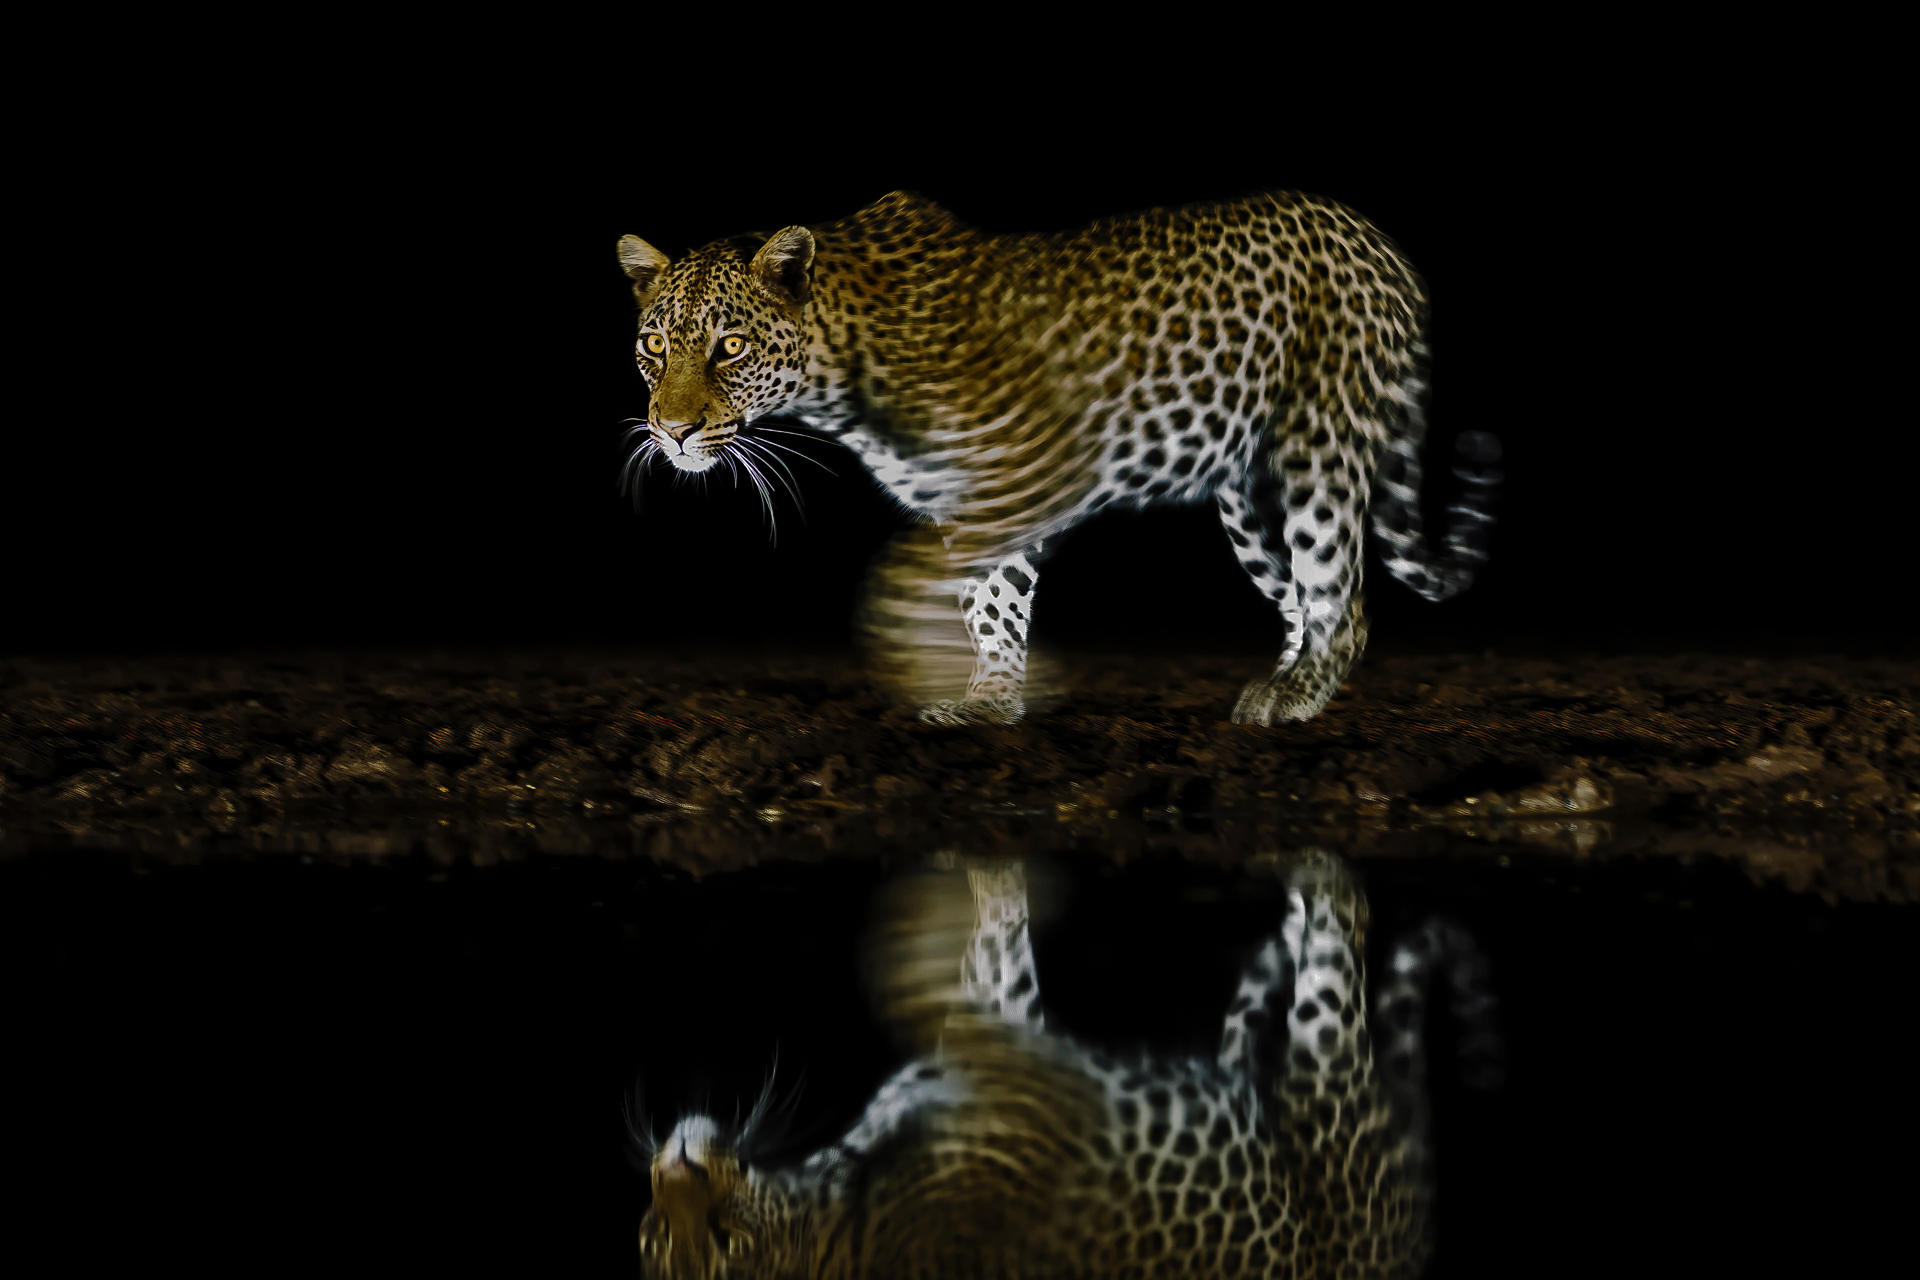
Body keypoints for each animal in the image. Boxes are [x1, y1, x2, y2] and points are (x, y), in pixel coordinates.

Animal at [615, 190, 1500, 726]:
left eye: (730, 347)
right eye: (654, 346)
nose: (673, 431)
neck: (845, 369)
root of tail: (1369, 233)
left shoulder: (1028, 474)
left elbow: (907, 584)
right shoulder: (969, 499)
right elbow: (991, 605)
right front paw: (991, 700)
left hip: (1322, 445)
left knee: (1342, 599)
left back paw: (1299, 697)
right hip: (1246, 494)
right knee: (1298, 600)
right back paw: (1281, 680)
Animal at [634, 854, 1501, 1278]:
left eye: (646, 1233)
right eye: (721, 1242)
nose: (676, 1165)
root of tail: (1410, 1247)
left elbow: (978, 957)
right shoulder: (1033, 1093)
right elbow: (930, 976)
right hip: (1331, 1091)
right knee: (1343, 934)